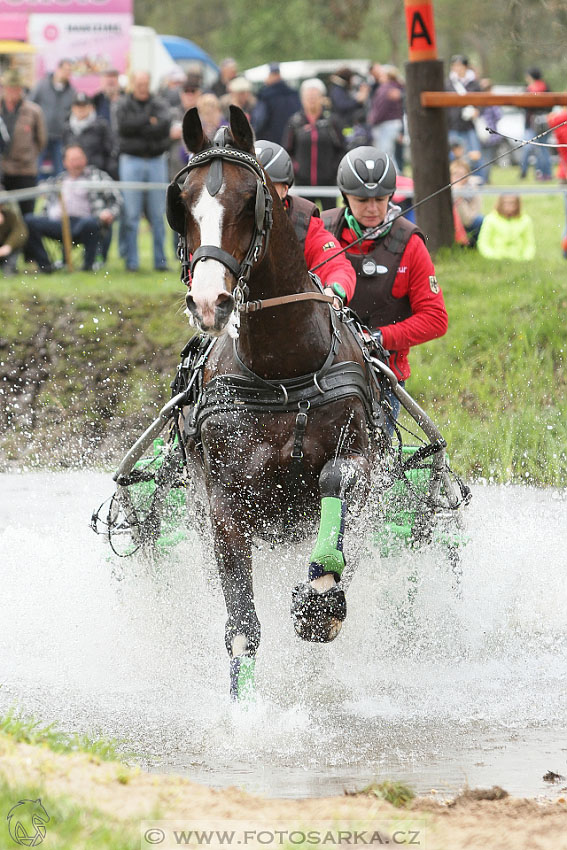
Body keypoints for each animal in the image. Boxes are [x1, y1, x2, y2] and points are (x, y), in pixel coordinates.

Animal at [165, 107, 386, 696]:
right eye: (182, 202)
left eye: (250, 199)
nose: (209, 301)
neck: (283, 370)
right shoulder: (225, 502)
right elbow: (242, 625)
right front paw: (246, 708)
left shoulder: (357, 461)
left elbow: (336, 482)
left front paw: (321, 599)